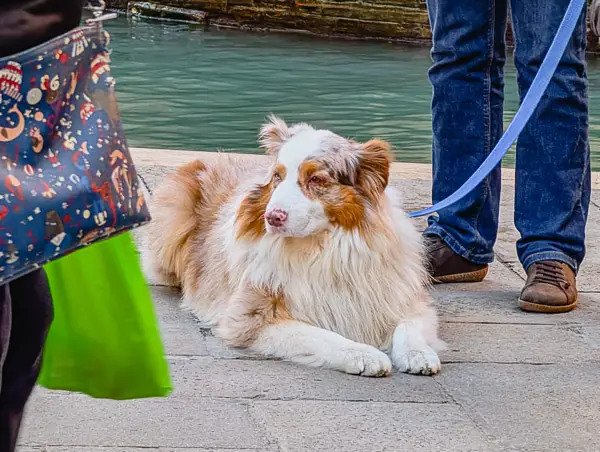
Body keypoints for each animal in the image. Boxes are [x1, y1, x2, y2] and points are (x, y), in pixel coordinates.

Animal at [143, 115, 446, 376]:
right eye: (278, 176)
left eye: (316, 179)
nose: (272, 217)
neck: (321, 247)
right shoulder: (248, 317)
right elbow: (321, 335)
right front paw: (364, 354)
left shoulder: (403, 296)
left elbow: (409, 324)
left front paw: (418, 353)